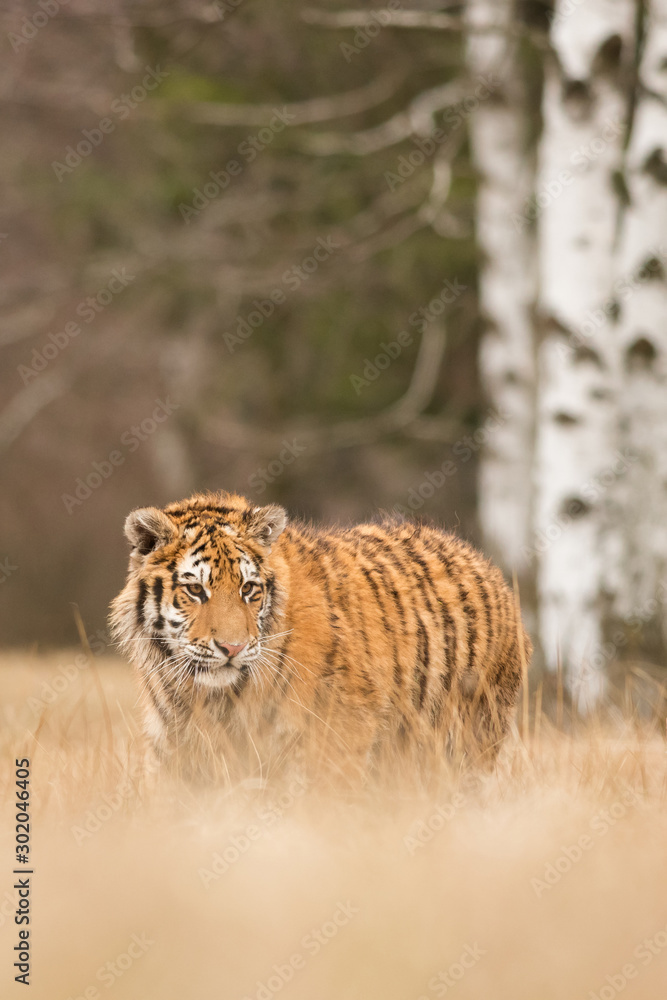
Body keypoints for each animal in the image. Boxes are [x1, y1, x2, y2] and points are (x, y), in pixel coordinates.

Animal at [110, 491, 531, 782]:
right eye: (196, 590)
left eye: (248, 589)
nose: (233, 647)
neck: (212, 697)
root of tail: (485, 564)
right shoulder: (175, 748)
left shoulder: (337, 742)